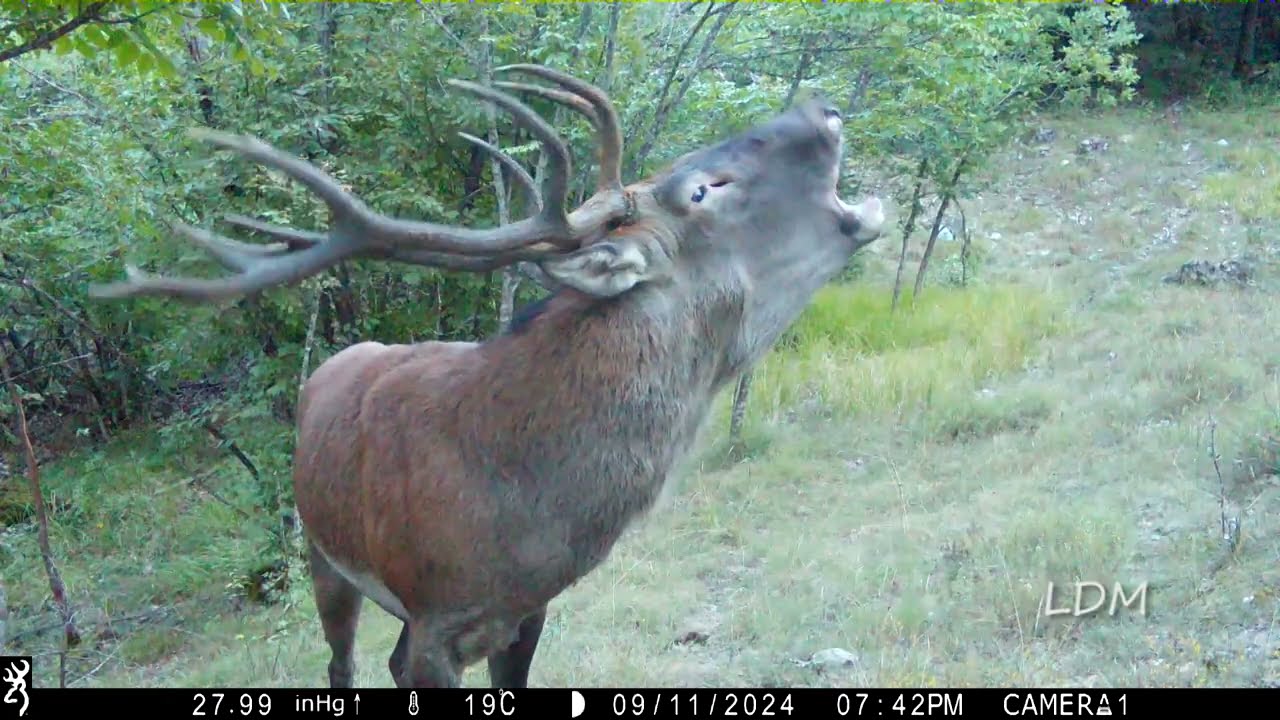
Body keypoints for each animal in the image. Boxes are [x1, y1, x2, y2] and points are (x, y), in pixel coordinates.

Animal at [90, 64, 885, 689]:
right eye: (700, 190)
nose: (823, 111)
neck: (522, 512)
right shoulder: (433, 615)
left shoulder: (525, 612)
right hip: (323, 552)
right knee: (341, 663)